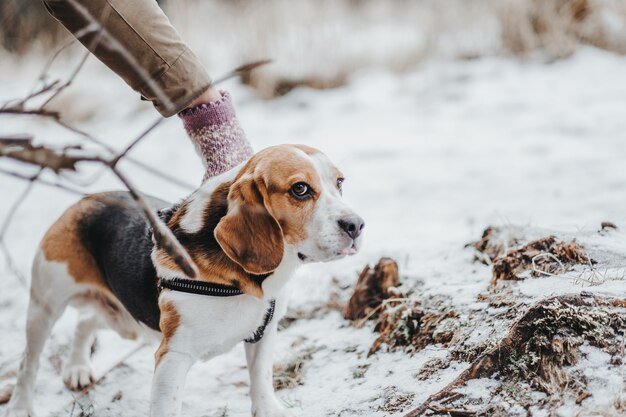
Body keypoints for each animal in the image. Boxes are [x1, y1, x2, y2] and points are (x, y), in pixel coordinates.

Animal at [7, 144, 364, 416]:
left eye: (340, 182)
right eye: (300, 189)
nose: (357, 225)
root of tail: (86, 199)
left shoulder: (264, 334)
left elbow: (261, 381)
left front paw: (269, 411)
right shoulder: (173, 357)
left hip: (125, 321)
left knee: (85, 321)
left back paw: (78, 367)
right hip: (45, 306)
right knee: (29, 362)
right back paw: (21, 406)